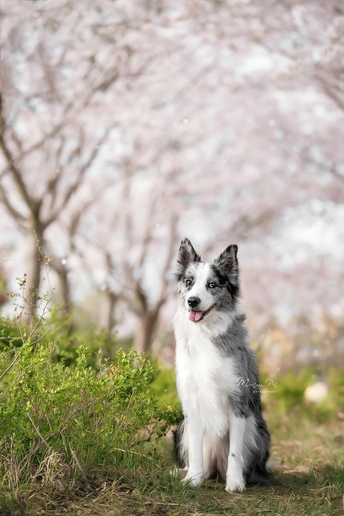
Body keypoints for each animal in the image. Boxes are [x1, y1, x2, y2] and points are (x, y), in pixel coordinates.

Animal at [173, 239, 270, 492]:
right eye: (189, 282)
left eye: (212, 285)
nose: (193, 301)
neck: (206, 332)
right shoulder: (192, 402)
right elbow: (196, 450)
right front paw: (193, 479)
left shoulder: (238, 401)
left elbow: (235, 453)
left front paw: (235, 483)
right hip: (180, 428)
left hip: (257, 429)